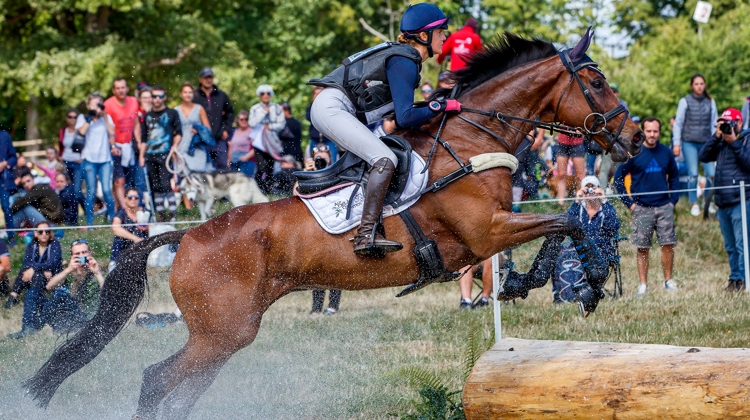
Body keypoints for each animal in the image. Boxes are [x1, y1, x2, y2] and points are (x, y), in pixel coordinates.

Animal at [23, 31, 648, 418]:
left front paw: (531, 281)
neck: (471, 139)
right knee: (156, 381)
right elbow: (565, 220)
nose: (631, 139)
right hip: (221, 332)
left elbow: (559, 224)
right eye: (595, 82)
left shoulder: (493, 232)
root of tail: (189, 234)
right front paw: (585, 281)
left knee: (179, 389)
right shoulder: (486, 233)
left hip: (222, 336)